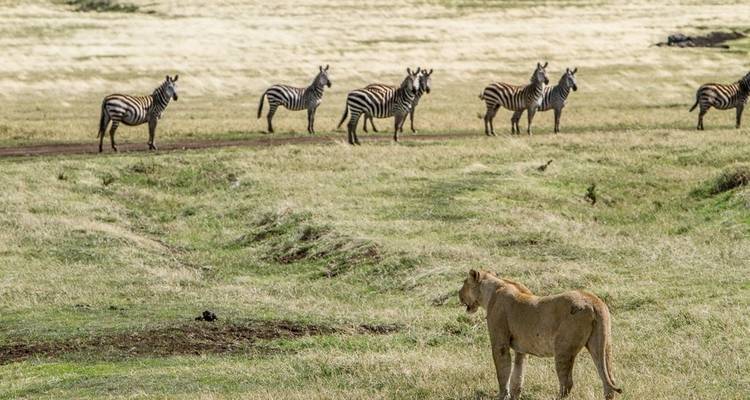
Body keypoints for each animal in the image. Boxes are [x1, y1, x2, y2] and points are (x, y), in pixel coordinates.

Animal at [458, 269, 622, 400]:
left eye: (464, 283)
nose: (458, 294)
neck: (494, 289)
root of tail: (594, 301)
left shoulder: (500, 344)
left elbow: (503, 372)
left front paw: (503, 395)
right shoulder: (520, 349)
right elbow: (518, 375)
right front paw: (514, 395)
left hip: (564, 349)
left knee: (567, 383)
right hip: (602, 345)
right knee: (608, 380)